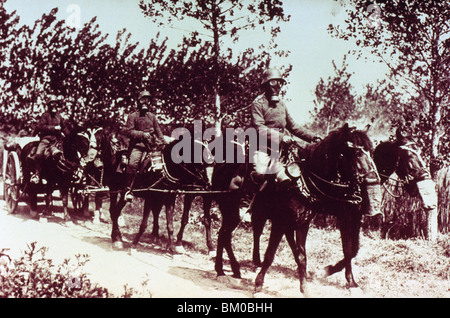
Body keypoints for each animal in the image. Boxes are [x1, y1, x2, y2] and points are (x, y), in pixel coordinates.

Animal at [251, 123, 382, 294]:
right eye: (357, 153)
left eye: (372, 152)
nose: (373, 179)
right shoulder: (343, 215)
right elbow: (348, 249)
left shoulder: (354, 217)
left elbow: (352, 250)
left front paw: (349, 281)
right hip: (260, 210)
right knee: (257, 231)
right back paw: (256, 262)